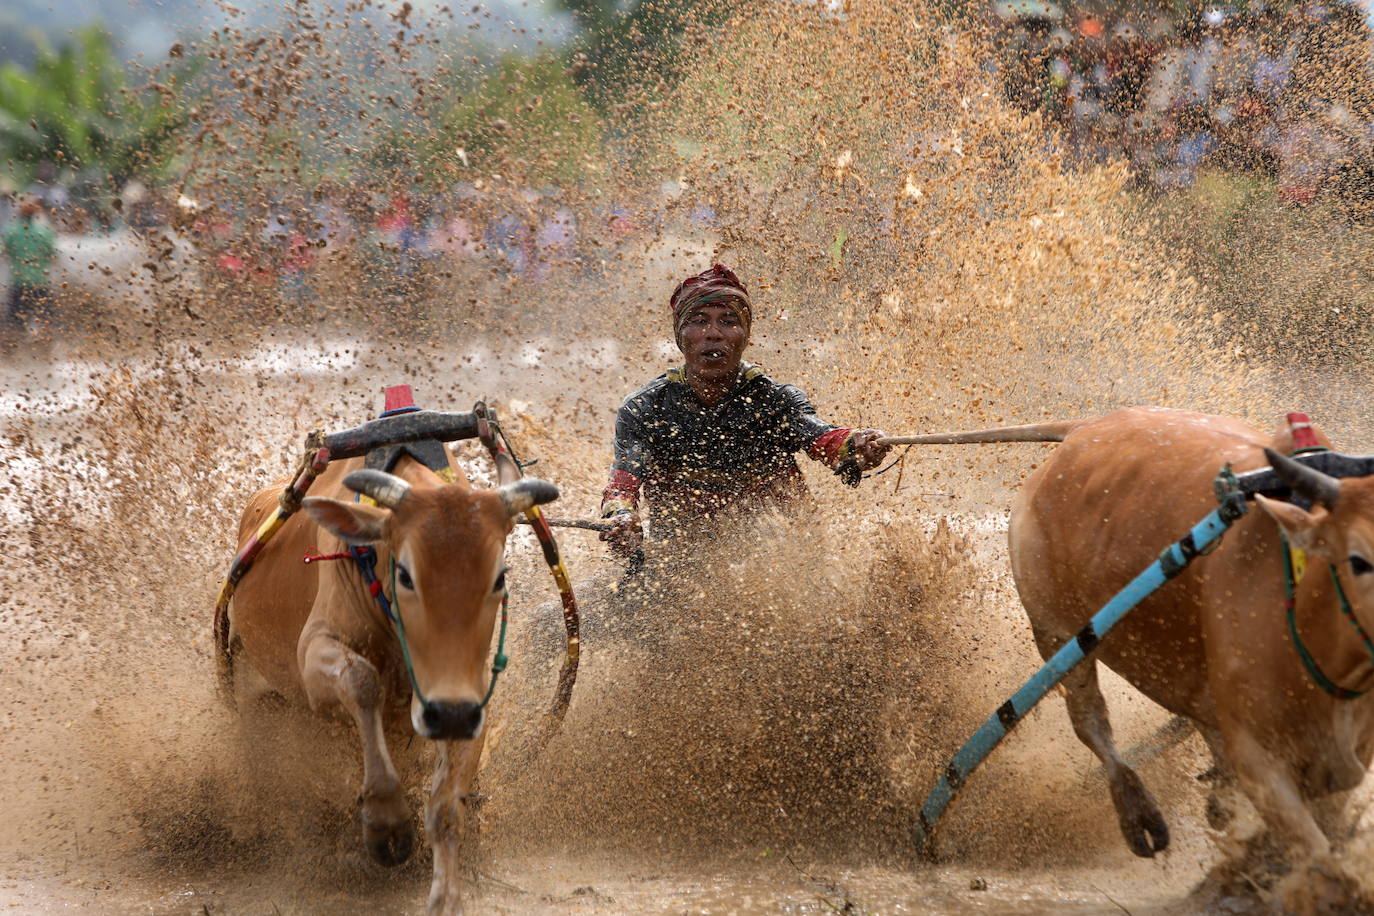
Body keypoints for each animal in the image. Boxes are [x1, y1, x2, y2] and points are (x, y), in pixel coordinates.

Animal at [222, 447, 555, 911]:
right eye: (406, 575)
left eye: (499, 576)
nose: (450, 714)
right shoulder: (315, 655)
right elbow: (362, 684)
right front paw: (386, 821)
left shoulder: (466, 701)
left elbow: (446, 807)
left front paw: (446, 897)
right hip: (252, 693)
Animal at [939, 411, 1374, 878]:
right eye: (1358, 559)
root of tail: (1083, 429)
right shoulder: (1260, 760)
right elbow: (1318, 858)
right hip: (1053, 630)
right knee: (1090, 720)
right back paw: (1138, 812)